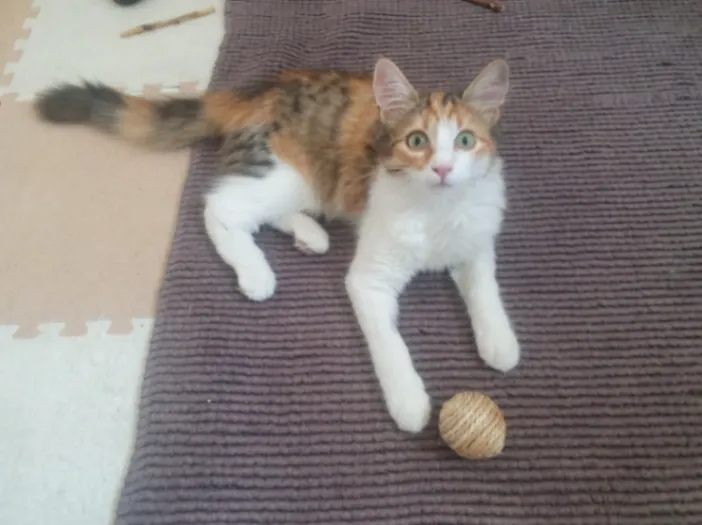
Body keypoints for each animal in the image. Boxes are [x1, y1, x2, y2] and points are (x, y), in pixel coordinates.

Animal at [34, 57, 520, 433]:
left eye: (465, 141)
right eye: (417, 141)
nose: (442, 169)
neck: (438, 210)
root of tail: (258, 95)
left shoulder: (477, 240)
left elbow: (485, 289)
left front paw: (500, 342)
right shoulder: (370, 279)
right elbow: (390, 344)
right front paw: (409, 400)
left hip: (305, 184)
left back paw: (311, 236)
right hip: (290, 173)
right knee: (219, 206)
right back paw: (256, 272)